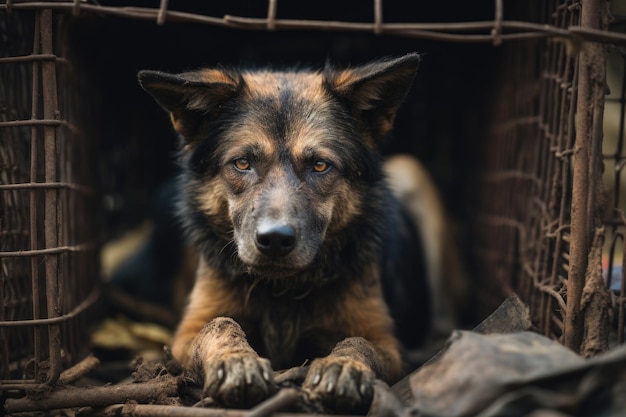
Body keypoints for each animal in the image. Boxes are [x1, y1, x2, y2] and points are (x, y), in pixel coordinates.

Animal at [138, 53, 458, 412]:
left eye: (320, 166)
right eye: (242, 163)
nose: (275, 240)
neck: (283, 290)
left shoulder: (387, 344)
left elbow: (359, 341)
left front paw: (344, 366)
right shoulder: (185, 334)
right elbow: (218, 324)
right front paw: (237, 361)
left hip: (410, 173)